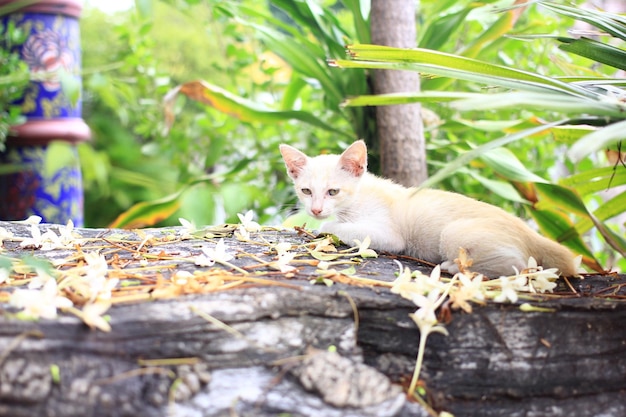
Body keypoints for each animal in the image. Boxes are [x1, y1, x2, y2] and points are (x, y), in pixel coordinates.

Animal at [278, 139, 576, 276]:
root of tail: (530, 233)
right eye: (306, 191)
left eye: (333, 192)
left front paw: (327, 225)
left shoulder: (390, 235)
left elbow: (337, 226)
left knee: (520, 267)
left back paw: (454, 266)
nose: (316, 210)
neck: (359, 198)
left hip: (454, 233)